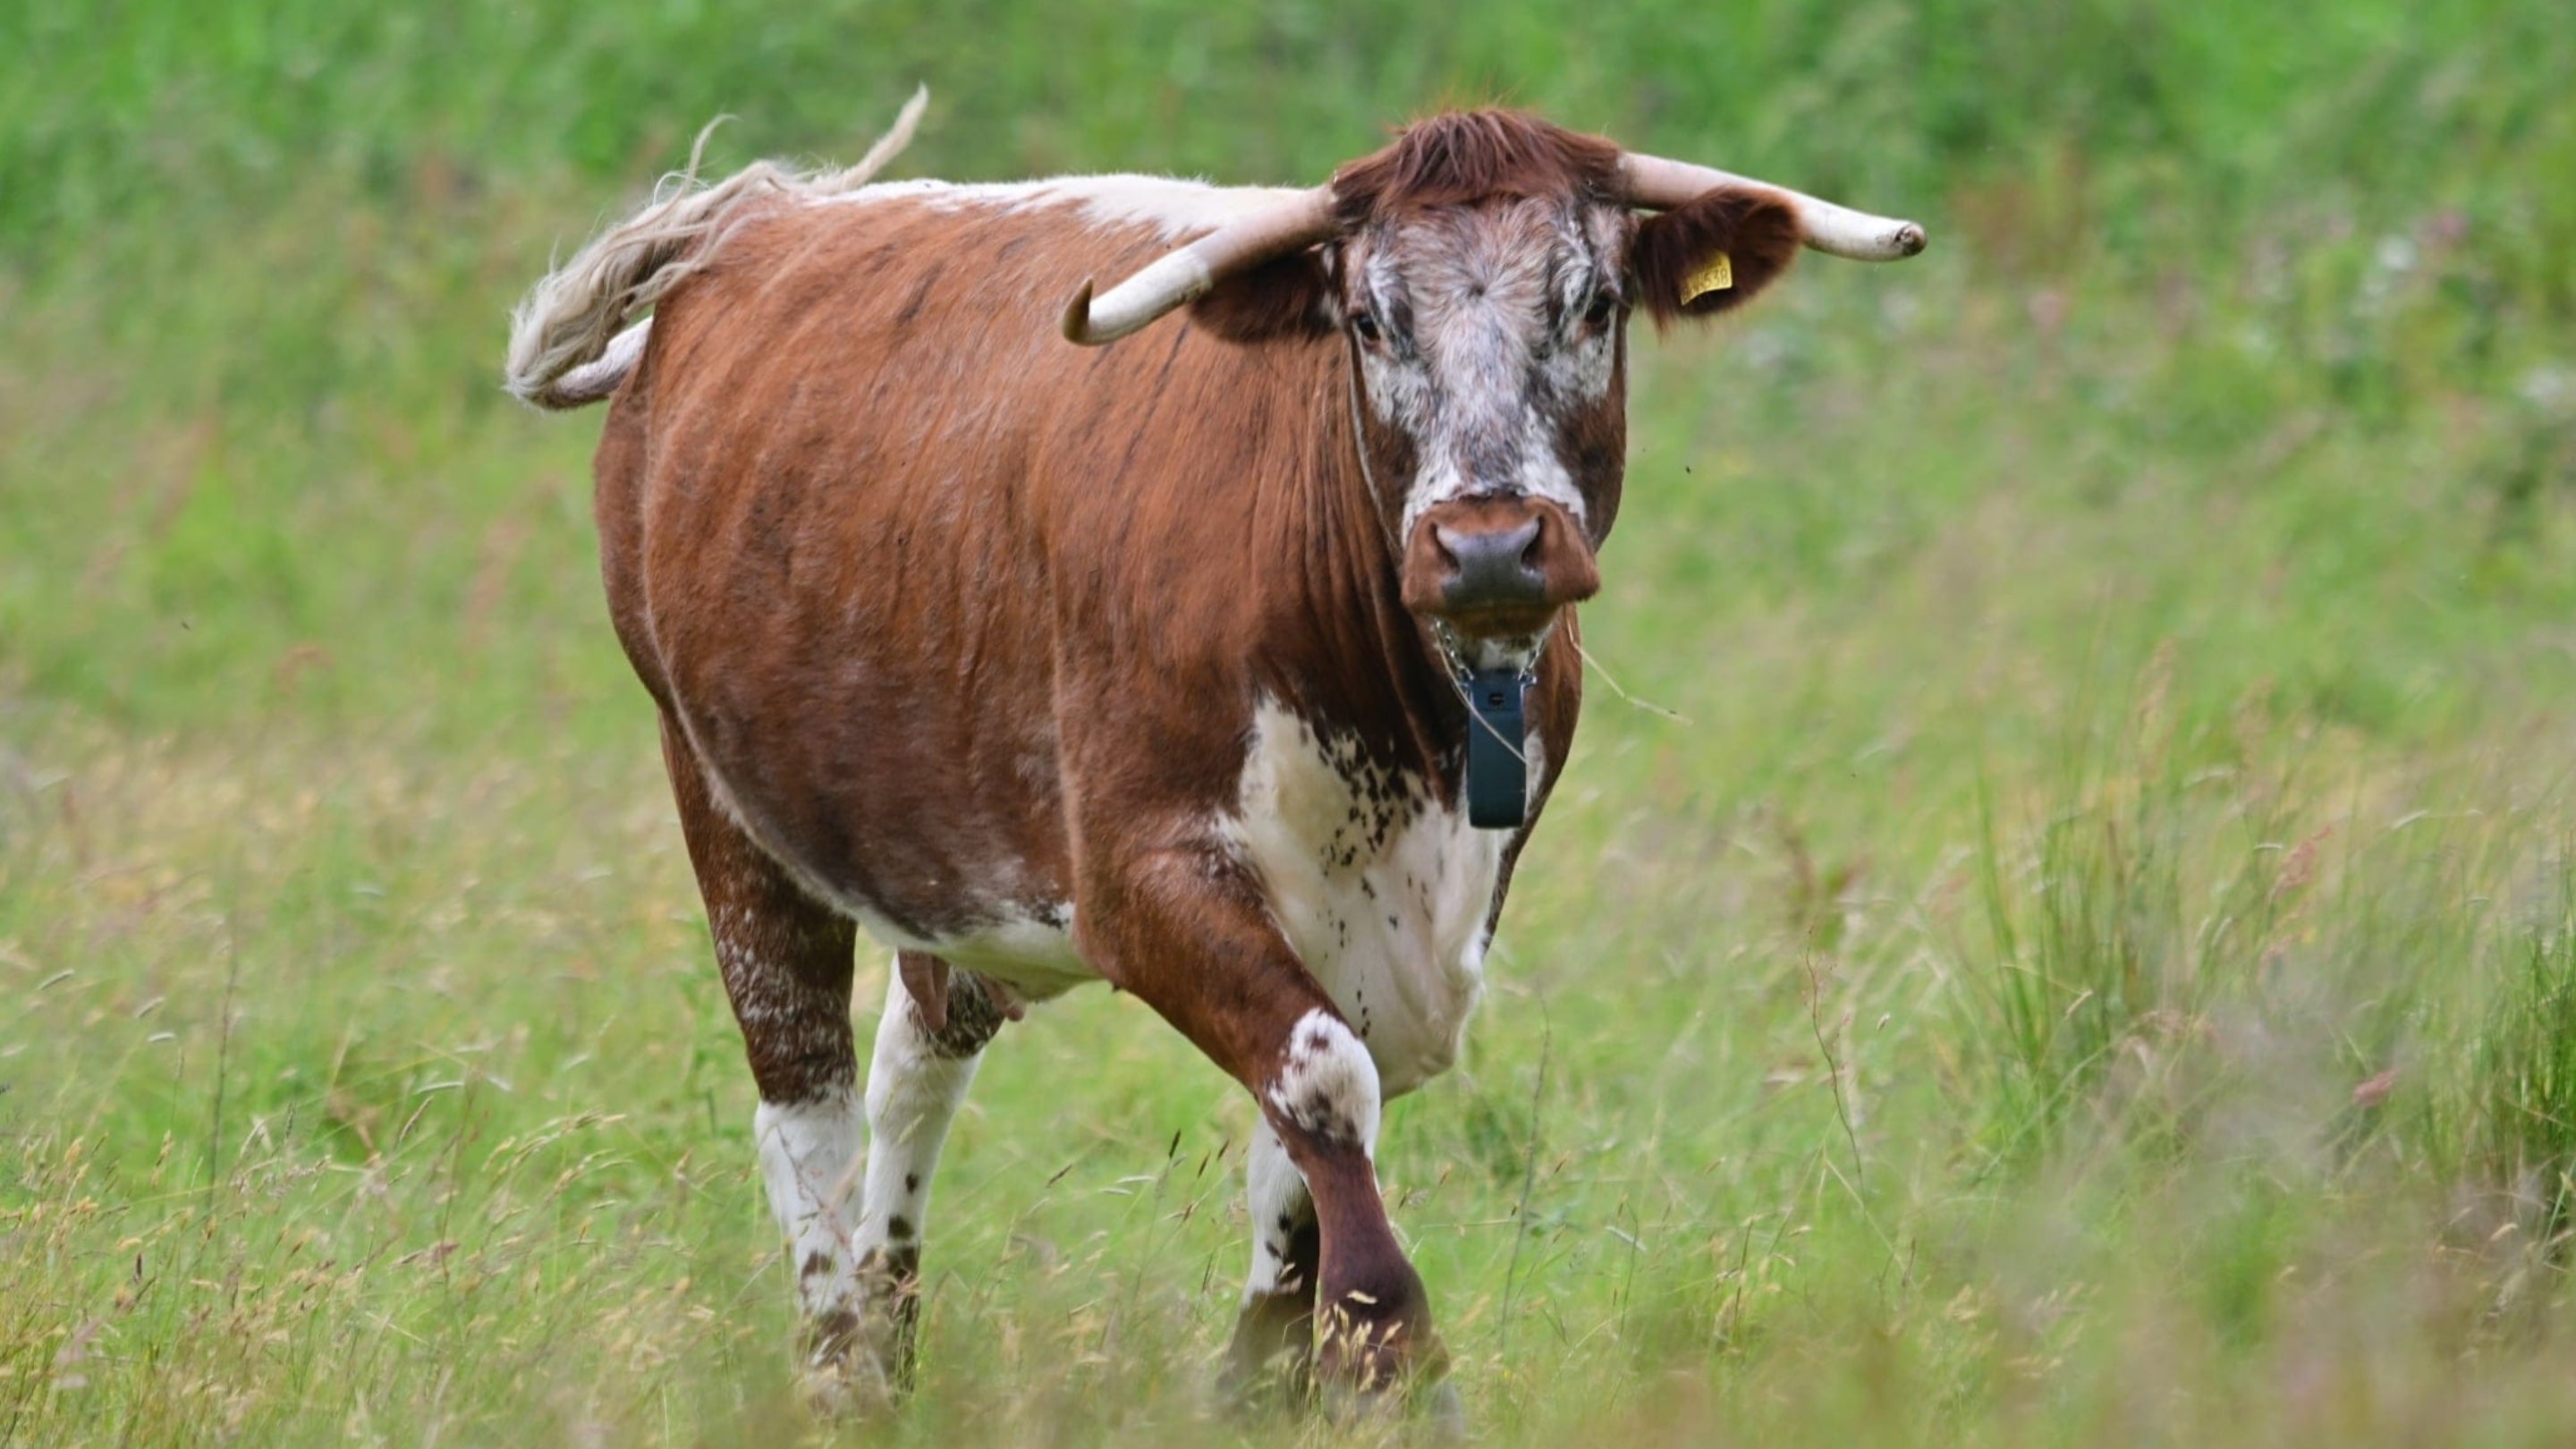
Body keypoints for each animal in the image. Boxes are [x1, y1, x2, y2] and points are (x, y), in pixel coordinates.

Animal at [504, 90, 1922, 1416]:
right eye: (1369, 321)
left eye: (1594, 305)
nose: (1489, 549)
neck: (1397, 718)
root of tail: (748, 232)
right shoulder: (1142, 877)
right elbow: (1327, 1084)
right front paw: (1393, 1352)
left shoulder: (1429, 914)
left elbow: (1298, 1146)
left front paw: (1264, 1378)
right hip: (724, 799)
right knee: (803, 1108)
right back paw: (839, 1371)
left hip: (953, 851)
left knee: (916, 1060)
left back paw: (894, 1341)